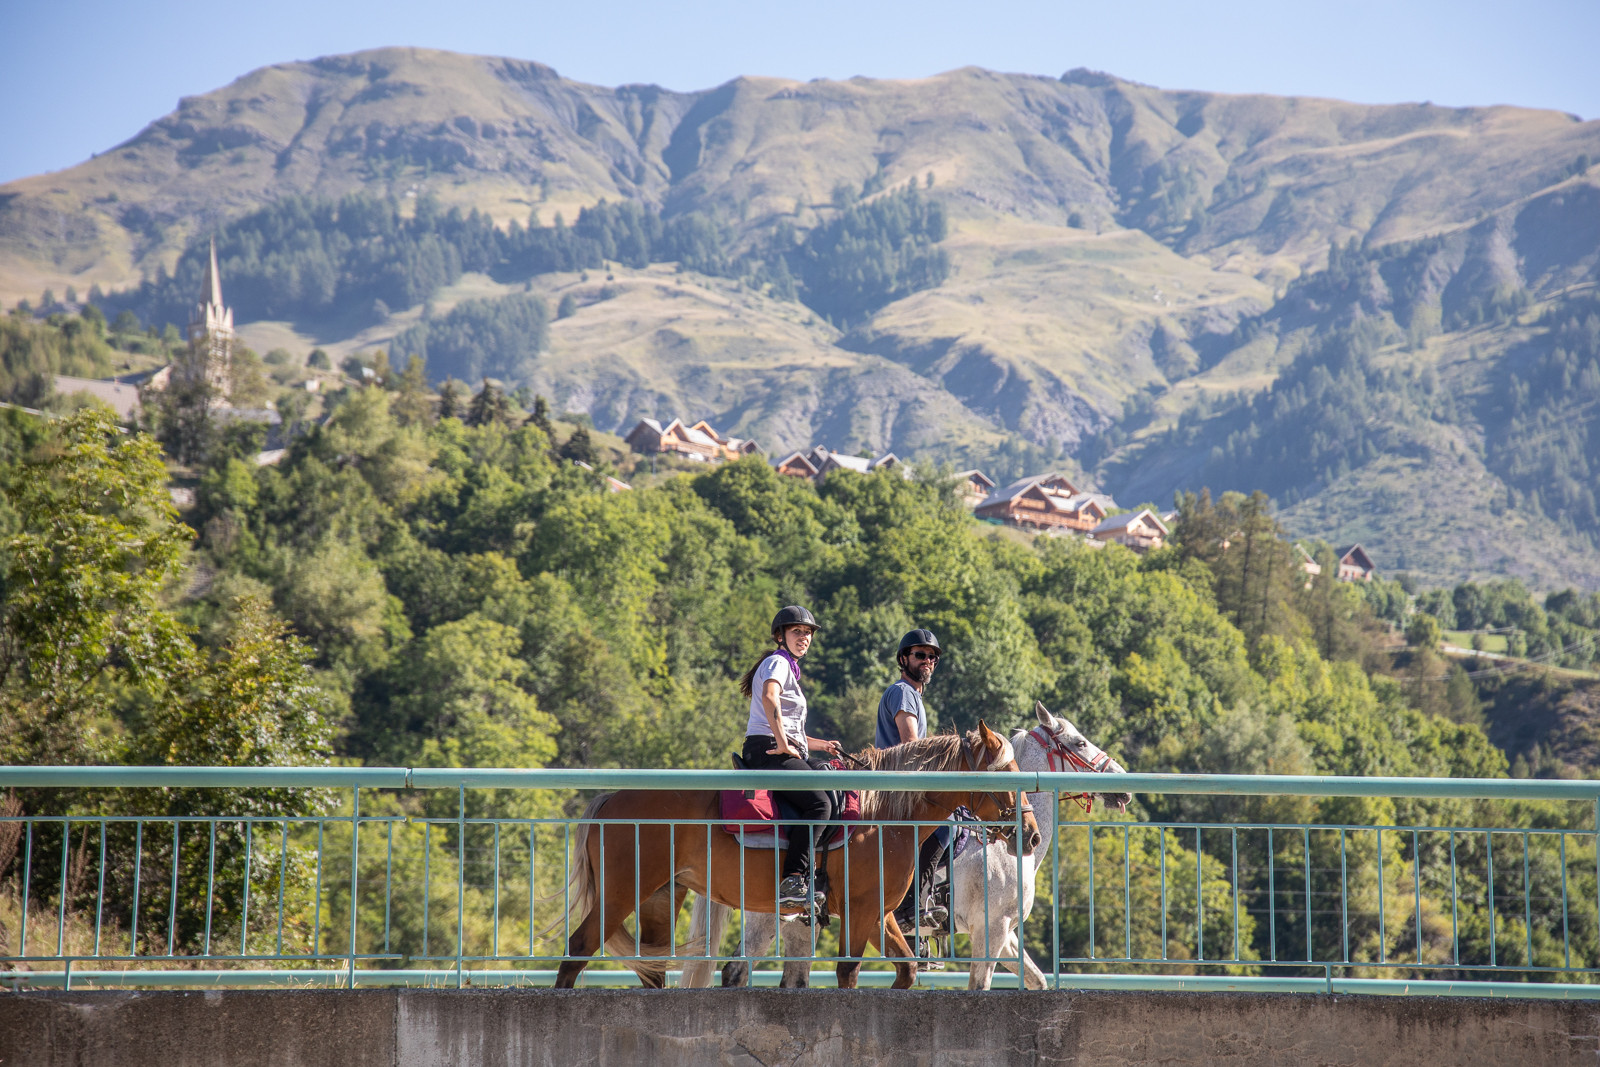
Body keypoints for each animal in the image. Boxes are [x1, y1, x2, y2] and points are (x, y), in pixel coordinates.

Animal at [556, 723, 1043, 991]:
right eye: (1006, 772)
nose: (1032, 835)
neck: (882, 814)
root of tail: (611, 797)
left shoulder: (878, 913)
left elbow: (906, 972)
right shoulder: (863, 912)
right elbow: (848, 972)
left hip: (661, 897)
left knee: (652, 969)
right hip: (623, 893)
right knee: (578, 948)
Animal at [681, 700, 1132, 991]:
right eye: (1079, 743)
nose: (1123, 785)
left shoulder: (1004, 934)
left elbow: (1036, 980)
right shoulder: (992, 929)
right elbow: (979, 985)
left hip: (800, 925)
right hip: (772, 918)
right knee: (738, 972)